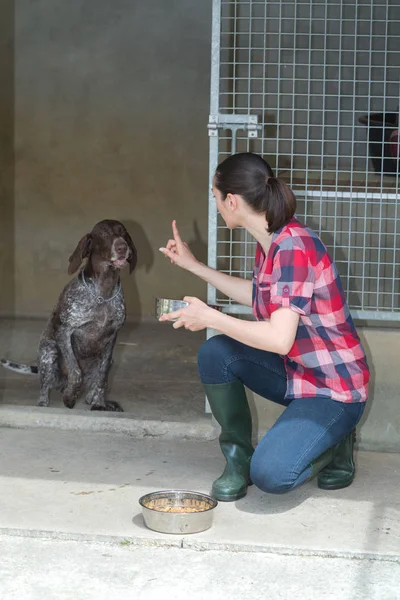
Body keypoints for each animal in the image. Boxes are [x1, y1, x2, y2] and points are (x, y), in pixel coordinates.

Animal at [0, 220, 137, 412]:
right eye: (103, 234)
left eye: (123, 232)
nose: (122, 247)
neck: (103, 291)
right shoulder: (64, 331)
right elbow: (75, 372)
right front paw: (70, 396)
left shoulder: (112, 337)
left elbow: (101, 378)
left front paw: (99, 404)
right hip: (49, 352)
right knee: (44, 388)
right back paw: (45, 402)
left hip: (108, 361)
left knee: (94, 387)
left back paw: (97, 401)